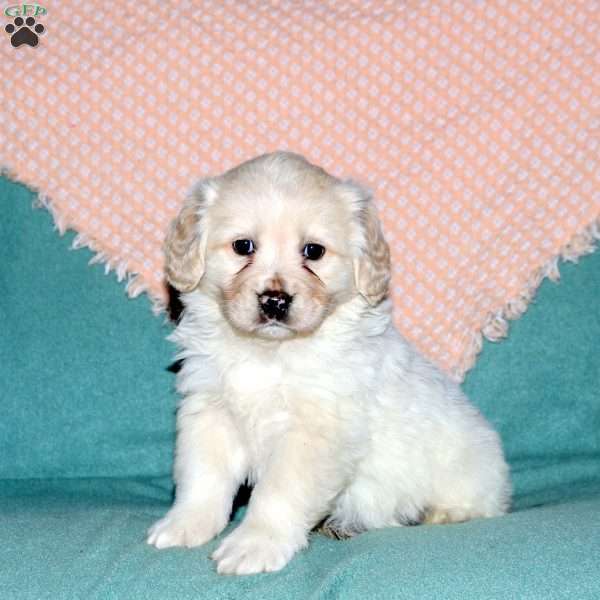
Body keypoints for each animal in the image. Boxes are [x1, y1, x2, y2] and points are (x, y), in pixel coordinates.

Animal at [146, 152, 510, 576]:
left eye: (313, 252)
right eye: (243, 246)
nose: (275, 301)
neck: (269, 353)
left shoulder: (313, 434)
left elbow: (278, 493)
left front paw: (254, 544)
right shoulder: (210, 413)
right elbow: (202, 478)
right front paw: (184, 525)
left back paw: (437, 514)